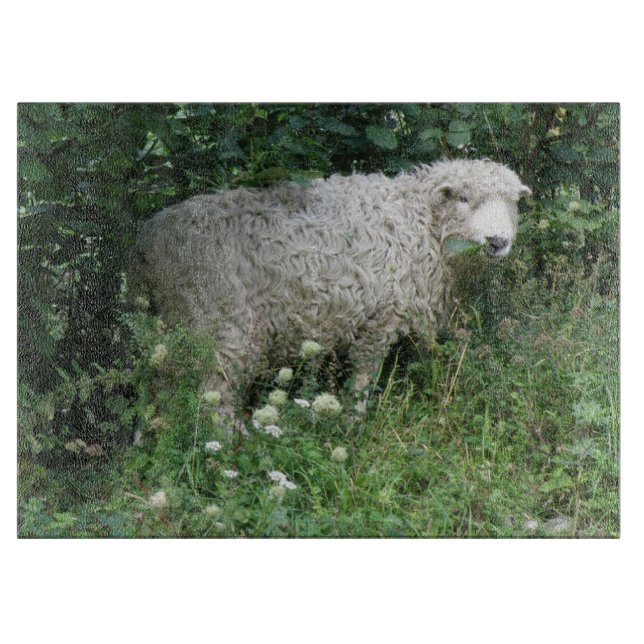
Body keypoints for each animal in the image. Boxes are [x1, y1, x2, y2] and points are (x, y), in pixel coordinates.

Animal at [129, 159, 531, 418]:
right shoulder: (380, 318)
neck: (418, 221)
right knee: (215, 395)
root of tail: (149, 242)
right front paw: (354, 425)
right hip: (220, 324)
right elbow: (362, 381)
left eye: (513, 202)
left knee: (158, 387)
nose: (498, 241)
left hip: (168, 326)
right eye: (463, 198)